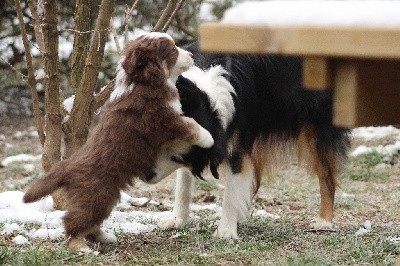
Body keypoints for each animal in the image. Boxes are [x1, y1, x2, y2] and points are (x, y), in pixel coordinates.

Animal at [23, 32, 214, 252]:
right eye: (173, 49)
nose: (191, 55)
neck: (142, 82)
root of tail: (67, 167)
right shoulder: (164, 119)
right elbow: (191, 125)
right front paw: (208, 138)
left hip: (103, 198)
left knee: (91, 223)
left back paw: (105, 237)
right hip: (96, 195)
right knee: (74, 221)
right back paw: (80, 247)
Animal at [160, 42, 350, 238]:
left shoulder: (234, 139)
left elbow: (231, 184)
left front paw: (225, 232)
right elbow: (183, 184)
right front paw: (177, 220)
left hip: (317, 125)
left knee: (327, 177)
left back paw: (324, 221)